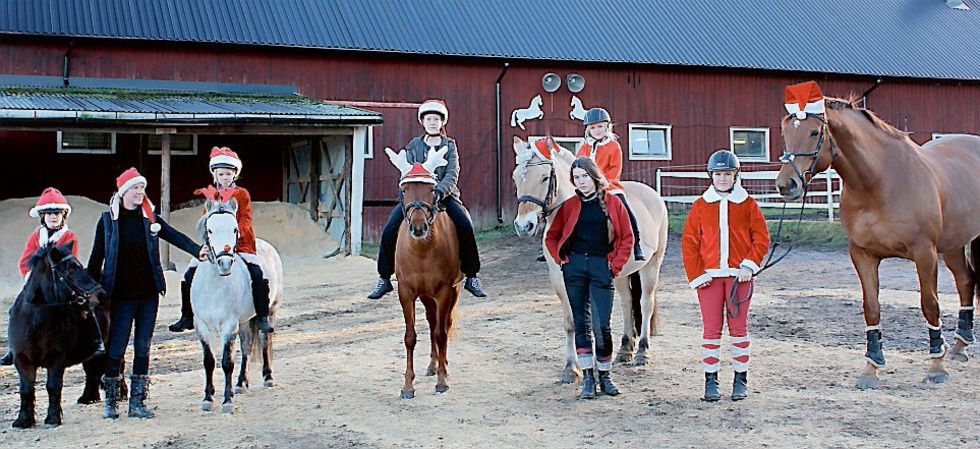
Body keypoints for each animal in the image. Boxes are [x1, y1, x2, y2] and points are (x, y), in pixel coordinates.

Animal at [7, 242, 112, 428]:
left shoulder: (56, 359)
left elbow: (53, 386)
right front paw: (23, 420)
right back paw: (88, 398)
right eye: (70, 270)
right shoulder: (22, 360)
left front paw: (53, 418)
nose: (101, 295)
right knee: (91, 370)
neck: (34, 322)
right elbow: (26, 389)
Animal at [191, 196, 284, 412]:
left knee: (264, 340)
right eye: (210, 230)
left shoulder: (228, 325)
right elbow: (209, 362)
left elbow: (227, 362)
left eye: (235, 229)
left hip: (271, 311)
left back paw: (267, 377)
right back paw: (242, 383)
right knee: (247, 344)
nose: (225, 264)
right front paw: (208, 399)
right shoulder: (202, 326)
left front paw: (227, 401)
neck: (214, 285)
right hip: (244, 320)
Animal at [382, 145, 464, 398]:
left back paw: (442, 366)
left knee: (443, 324)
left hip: (453, 291)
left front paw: (442, 381)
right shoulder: (406, 292)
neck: (422, 250)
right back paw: (432, 364)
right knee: (431, 321)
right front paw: (408, 386)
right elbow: (410, 337)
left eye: (431, 189)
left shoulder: (445, 291)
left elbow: (441, 333)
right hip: (427, 296)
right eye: (404, 189)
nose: (418, 227)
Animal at [510, 136, 668, 382]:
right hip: (622, 273)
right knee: (627, 302)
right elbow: (571, 322)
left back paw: (642, 352)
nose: (523, 226)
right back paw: (625, 350)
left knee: (645, 303)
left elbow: (594, 320)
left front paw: (594, 365)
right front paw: (570, 369)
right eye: (516, 178)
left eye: (545, 177)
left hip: (651, 265)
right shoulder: (559, 279)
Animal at [772, 85, 980, 388]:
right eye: (785, 132)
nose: (787, 185)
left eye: (814, 132)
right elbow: (871, 307)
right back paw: (960, 346)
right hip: (953, 243)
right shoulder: (862, 254)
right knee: (965, 281)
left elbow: (930, 305)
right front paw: (872, 368)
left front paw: (936, 367)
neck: (879, 182)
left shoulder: (924, 253)